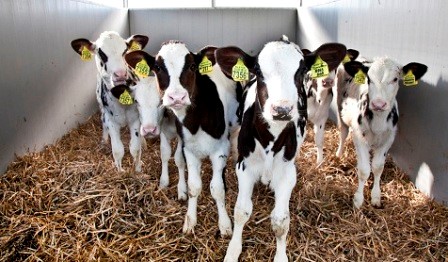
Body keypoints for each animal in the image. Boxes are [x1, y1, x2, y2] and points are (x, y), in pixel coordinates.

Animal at [71, 30, 149, 172]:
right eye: (101, 53)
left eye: (125, 51)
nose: (120, 74)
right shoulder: (111, 120)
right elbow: (117, 150)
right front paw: (120, 171)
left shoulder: (135, 118)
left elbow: (135, 149)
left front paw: (138, 170)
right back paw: (104, 141)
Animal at [138, 40, 240, 235]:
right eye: (157, 67)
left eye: (192, 66)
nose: (177, 97)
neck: (196, 122)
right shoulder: (189, 150)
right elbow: (194, 187)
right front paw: (190, 220)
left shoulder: (220, 150)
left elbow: (217, 189)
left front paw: (224, 224)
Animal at [215, 37, 344, 260]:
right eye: (258, 71)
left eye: (302, 71)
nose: (281, 109)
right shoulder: (245, 166)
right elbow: (241, 211)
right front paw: (232, 251)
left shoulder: (287, 172)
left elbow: (281, 221)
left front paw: (281, 256)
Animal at [336, 57, 428, 209]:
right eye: (368, 79)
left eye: (395, 79)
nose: (378, 104)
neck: (378, 122)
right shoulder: (359, 137)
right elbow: (364, 170)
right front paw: (358, 200)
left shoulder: (388, 138)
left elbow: (378, 167)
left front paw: (376, 196)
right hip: (340, 108)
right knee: (343, 132)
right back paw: (339, 154)